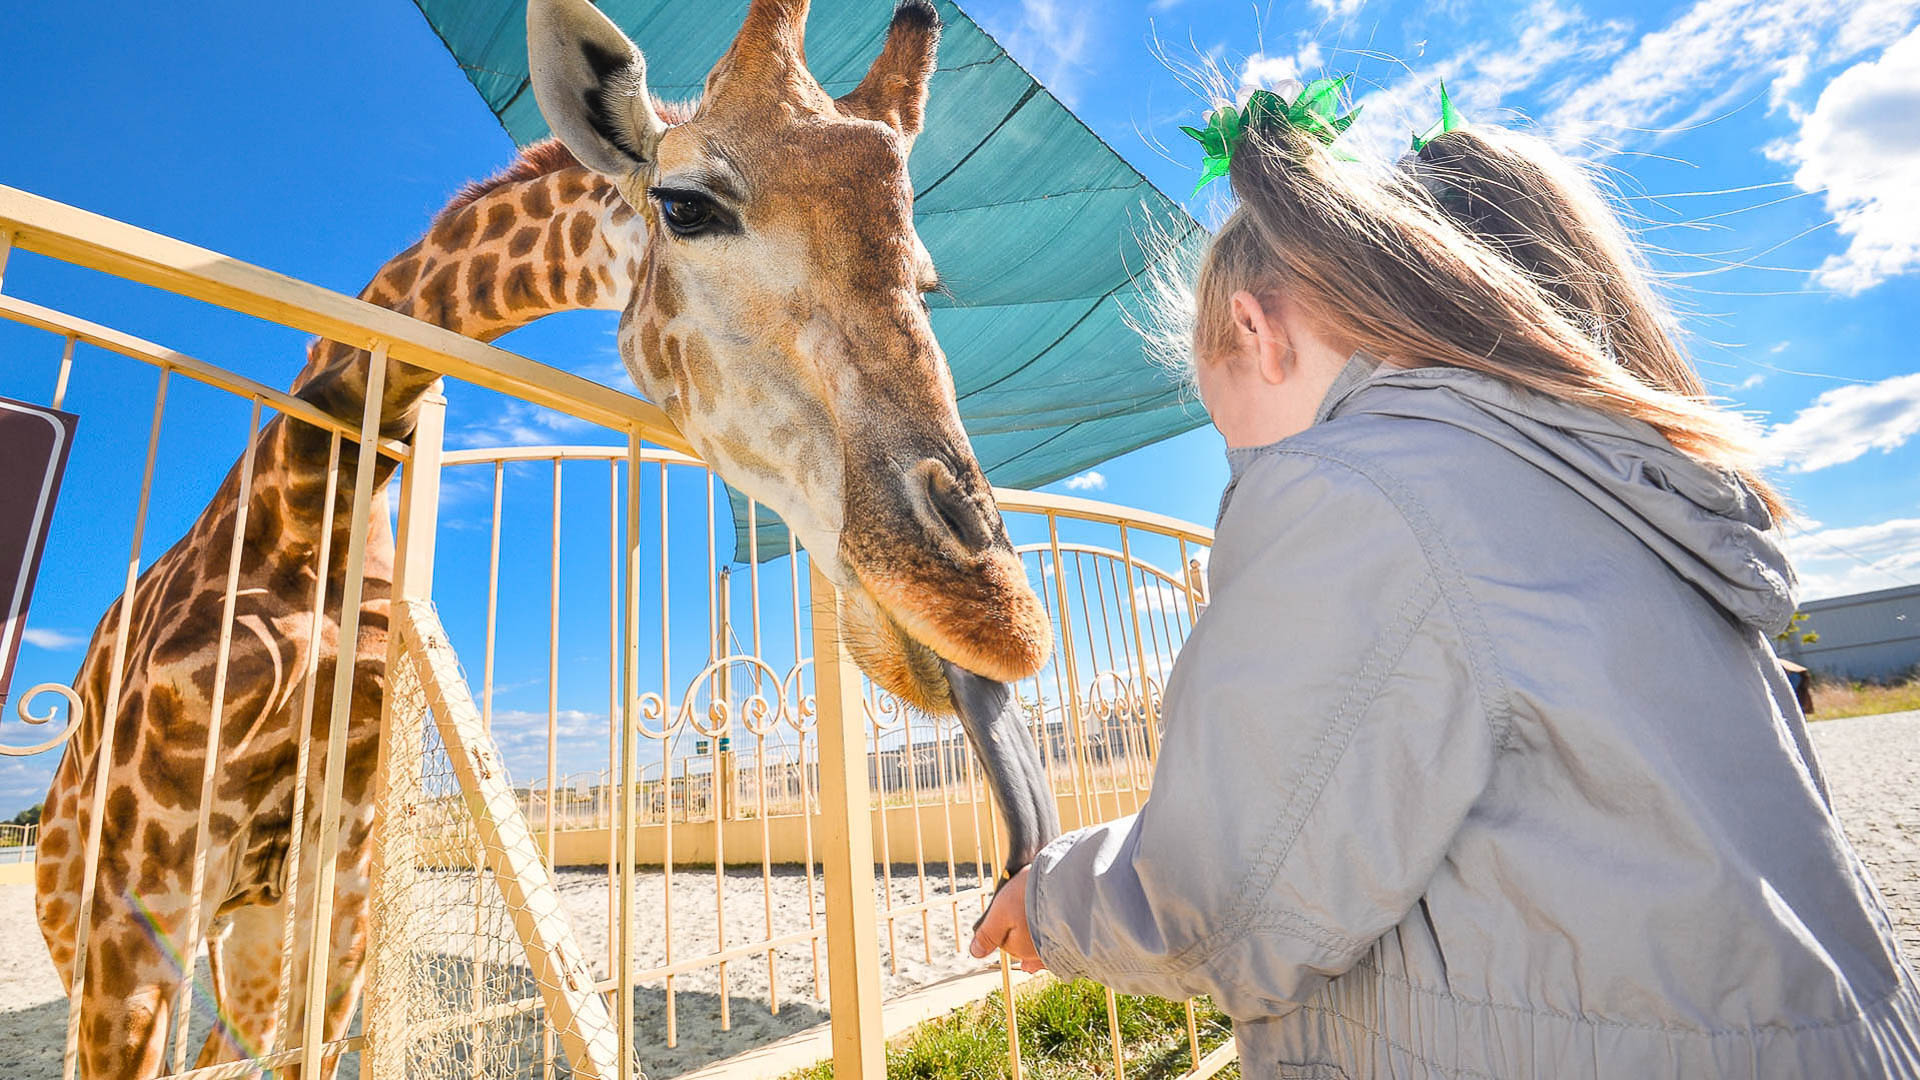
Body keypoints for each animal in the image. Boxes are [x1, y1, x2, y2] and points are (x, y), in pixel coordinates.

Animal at [33, 2, 1052, 1076]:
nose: (993, 615)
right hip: (85, 911)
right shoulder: (134, 908)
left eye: (924, 277)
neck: (306, 516)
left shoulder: (340, 896)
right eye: (685, 206)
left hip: (251, 924)